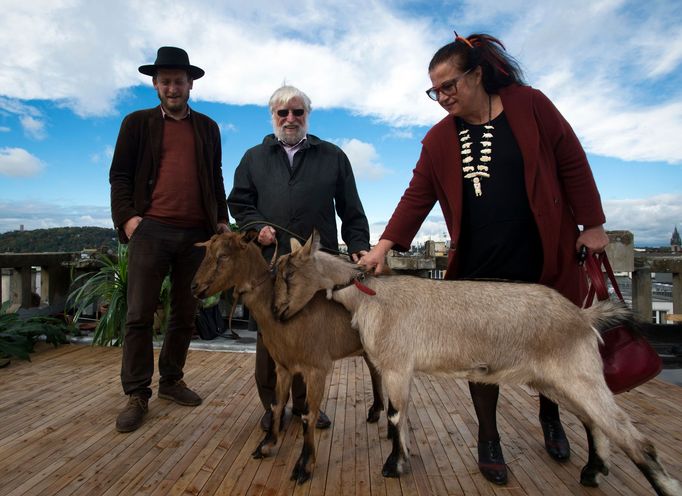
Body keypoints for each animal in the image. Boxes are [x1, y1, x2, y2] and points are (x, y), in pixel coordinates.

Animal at [191, 232, 382, 484]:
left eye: (223, 255)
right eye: (206, 252)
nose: (194, 287)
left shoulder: (317, 368)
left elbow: (308, 416)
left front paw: (304, 466)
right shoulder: (282, 366)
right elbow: (277, 404)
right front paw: (266, 445)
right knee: (374, 372)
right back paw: (376, 412)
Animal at [272, 232, 680, 496]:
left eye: (289, 273)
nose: (277, 313)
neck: (371, 296)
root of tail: (583, 316)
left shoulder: (396, 365)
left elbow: (395, 415)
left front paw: (393, 466)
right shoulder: (397, 370)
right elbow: (402, 415)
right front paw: (402, 460)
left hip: (578, 374)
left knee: (634, 438)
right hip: (557, 380)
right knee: (595, 423)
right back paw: (593, 472)